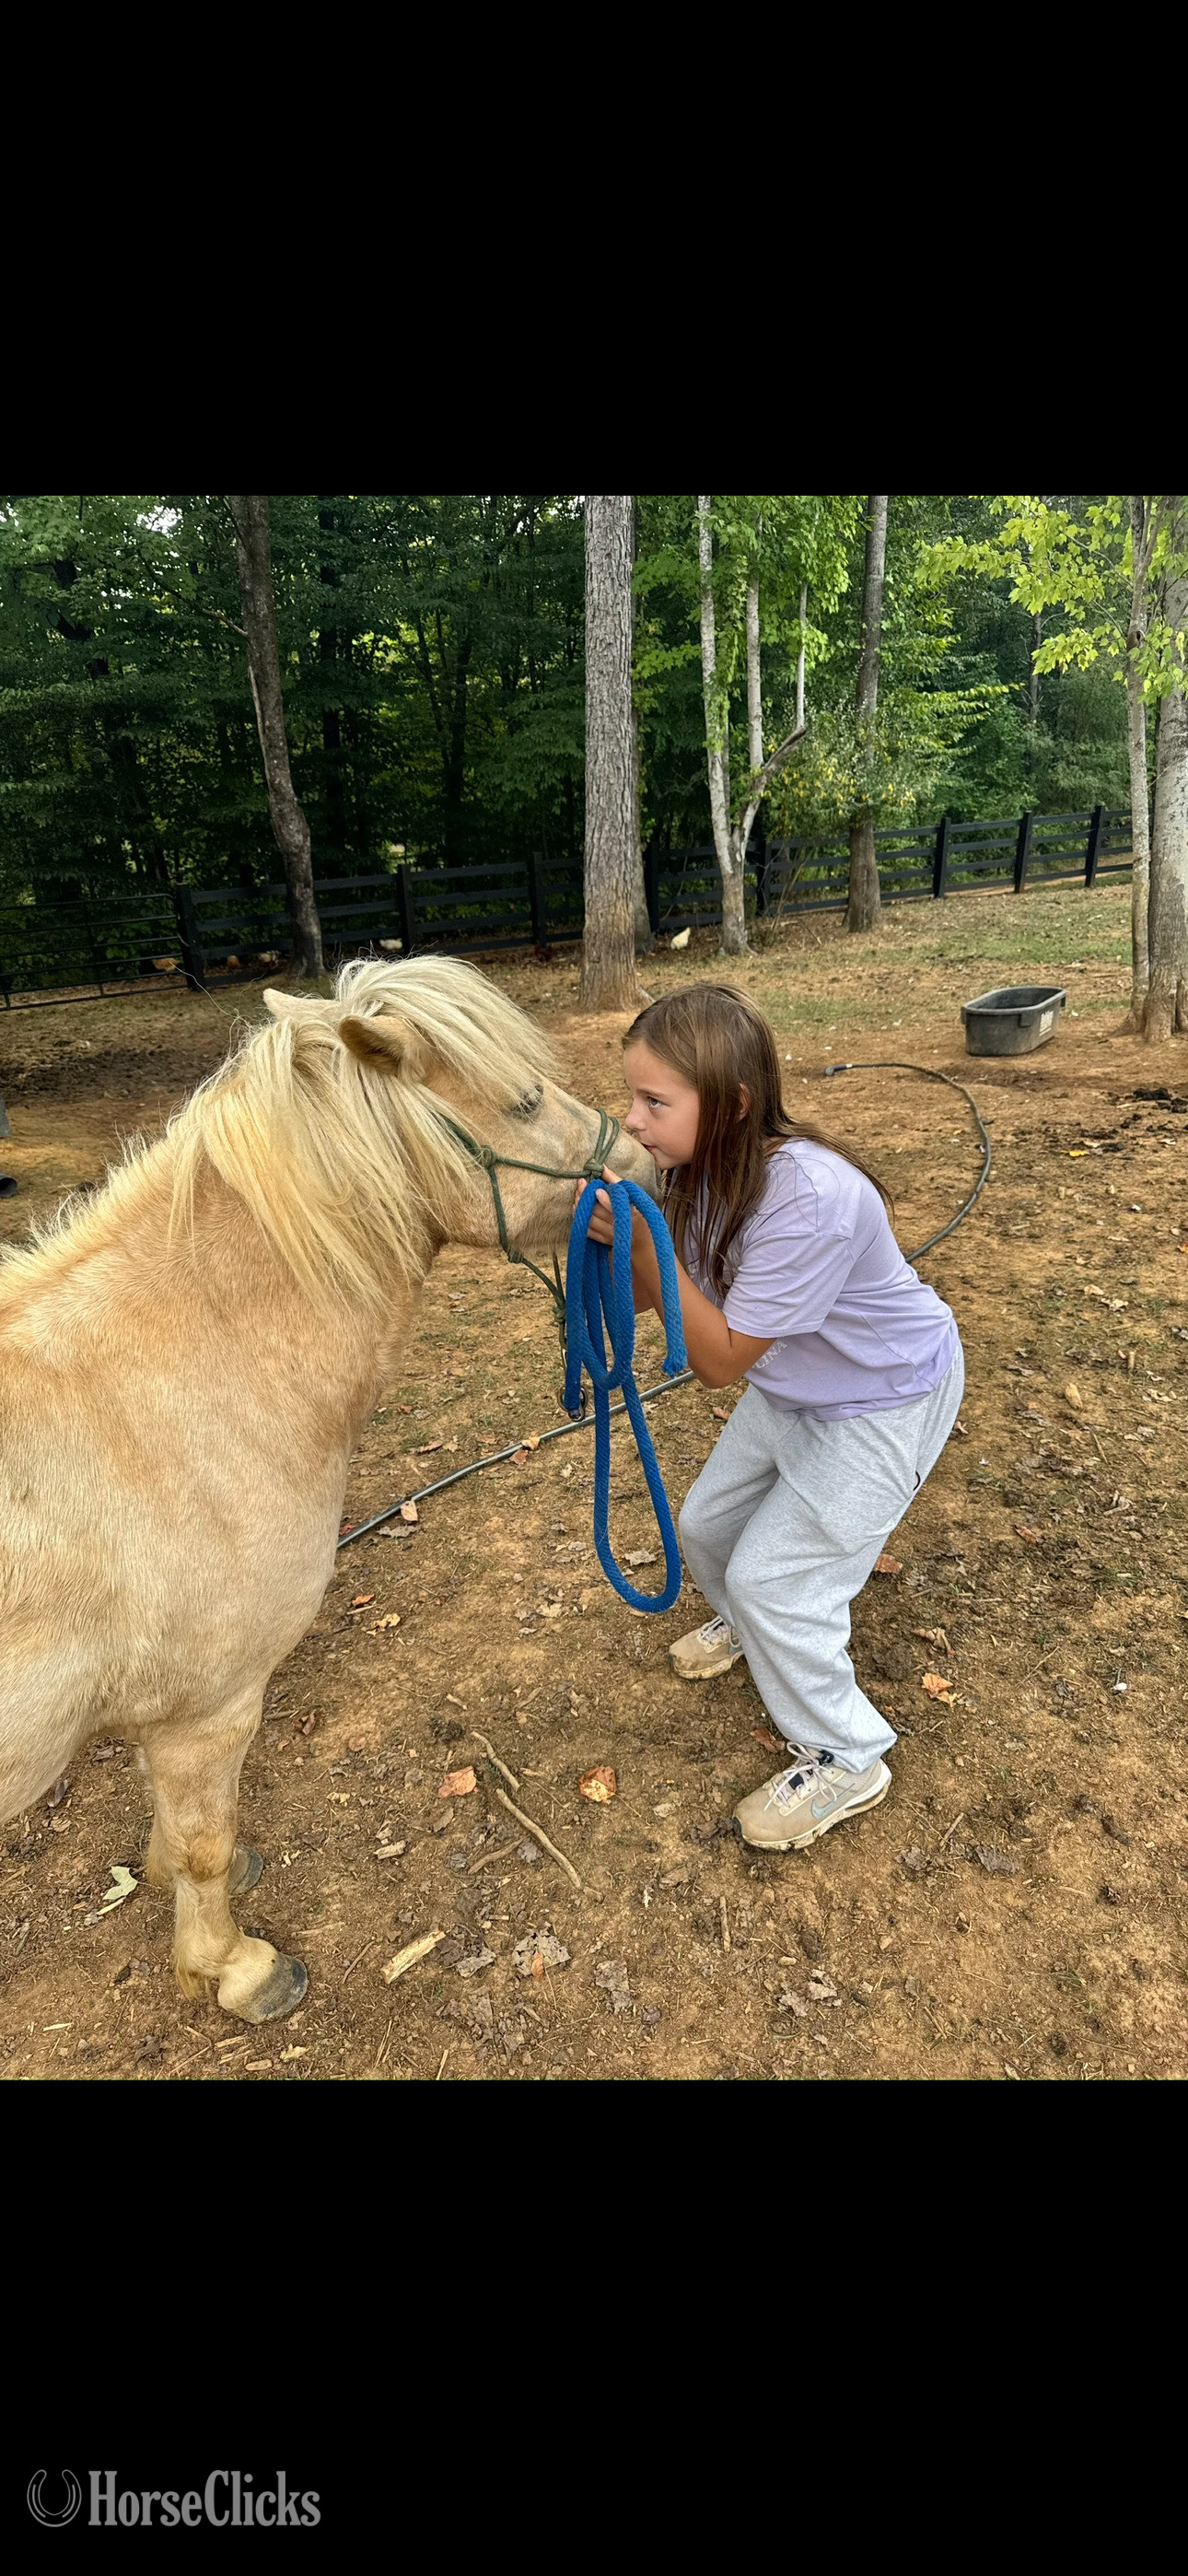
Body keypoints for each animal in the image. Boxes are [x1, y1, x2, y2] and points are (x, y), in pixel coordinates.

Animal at [0, 956, 655, 2022]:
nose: (640, 1161)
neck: (166, 1385)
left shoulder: (167, 1715)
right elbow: (203, 1841)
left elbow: (176, 1826)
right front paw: (231, 1968)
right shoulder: (210, 1705)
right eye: (522, 1101)